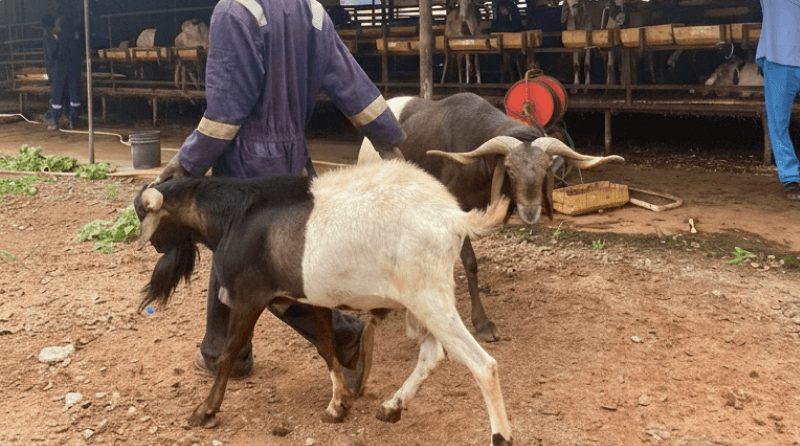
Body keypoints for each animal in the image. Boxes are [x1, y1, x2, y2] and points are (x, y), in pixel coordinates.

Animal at [134, 160, 514, 446]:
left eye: (140, 214)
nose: (152, 245)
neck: (234, 216)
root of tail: (455, 218)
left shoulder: (248, 296)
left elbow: (229, 354)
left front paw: (206, 411)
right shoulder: (311, 296)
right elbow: (326, 348)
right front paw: (338, 405)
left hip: (429, 296)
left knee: (484, 364)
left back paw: (501, 436)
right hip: (422, 300)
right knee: (433, 353)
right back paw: (392, 407)